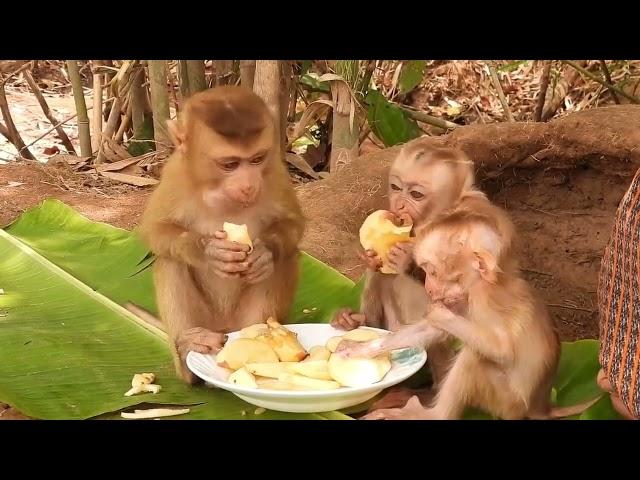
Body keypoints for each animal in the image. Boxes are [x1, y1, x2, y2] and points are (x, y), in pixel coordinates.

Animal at [137, 85, 304, 382]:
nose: (249, 184)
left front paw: (264, 254)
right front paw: (208, 251)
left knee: (286, 258)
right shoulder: (175, 173)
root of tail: (225, 329)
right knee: (170, 260)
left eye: (257, 159)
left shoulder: (275, 172)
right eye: (230, 164)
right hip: (207, 324)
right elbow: (156, 231)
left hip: (242, 320)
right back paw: (188, 353)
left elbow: (293, 225)